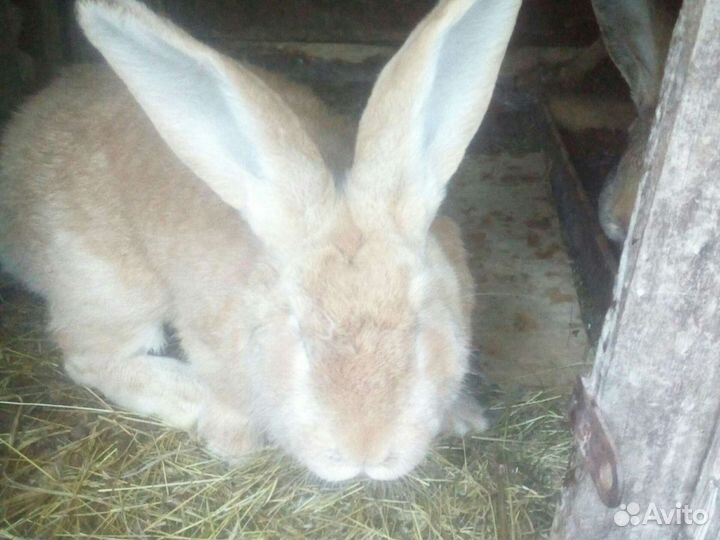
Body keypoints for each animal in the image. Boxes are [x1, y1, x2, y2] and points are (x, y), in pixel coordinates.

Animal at [0, 0, 521, 482]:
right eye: (300, 338)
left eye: (417, 331)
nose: (364, 454)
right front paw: (231, 438)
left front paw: (466, 416)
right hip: (110, 285)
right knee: (88, 357)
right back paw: (187, 395)